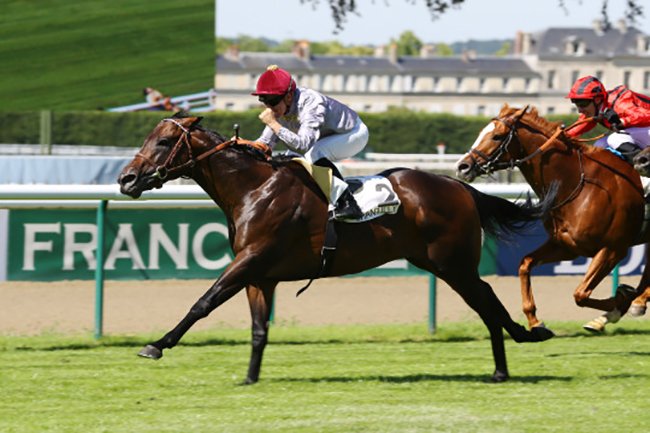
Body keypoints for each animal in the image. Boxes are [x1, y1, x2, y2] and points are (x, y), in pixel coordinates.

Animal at [118, 114, 554, 384]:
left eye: (164, 141)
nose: (126, 179)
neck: (253, 189)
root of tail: (459, 186)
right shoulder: (260, 275)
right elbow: (259, 329)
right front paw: (250, 377)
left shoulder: (250, 259)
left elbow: (203, 303)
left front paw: (156, 345)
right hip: (442, 263)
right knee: (485, 301)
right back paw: (509, 357)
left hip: (453, 264)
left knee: (486, 300)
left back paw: (513, 352)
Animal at [456, 104, 650, 334]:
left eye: (497, 136)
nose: (463, 166)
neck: (579, 184)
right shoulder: (567, 246)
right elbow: (525, 264)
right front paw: (534, 321)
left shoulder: (613, 249)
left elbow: (580, 294)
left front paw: (621, 300)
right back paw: (635, 303)